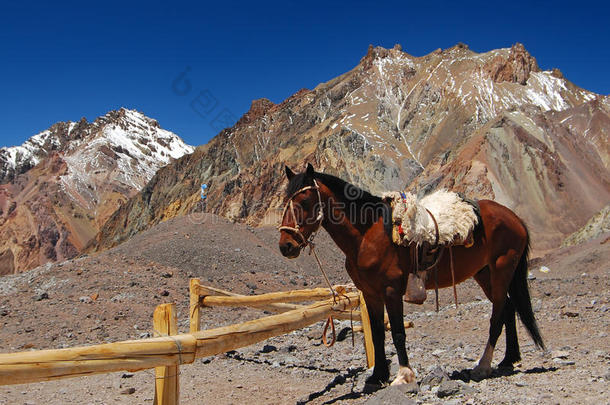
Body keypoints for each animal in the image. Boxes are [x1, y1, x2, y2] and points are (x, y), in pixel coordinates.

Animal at [278, 163, 544, 386]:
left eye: (304, 201)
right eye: (284, 202)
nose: (286, 246)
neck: (367, 236)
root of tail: (515, 218)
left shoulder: (391, 290)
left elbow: (397, 332)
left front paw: (404, 375)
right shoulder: (370, 293)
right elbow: (377, 333)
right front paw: (378, 376)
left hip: (502, 270)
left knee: (497, 315)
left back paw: (483, 366)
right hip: (484, 274)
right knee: (508, 308)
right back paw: (508, 359)